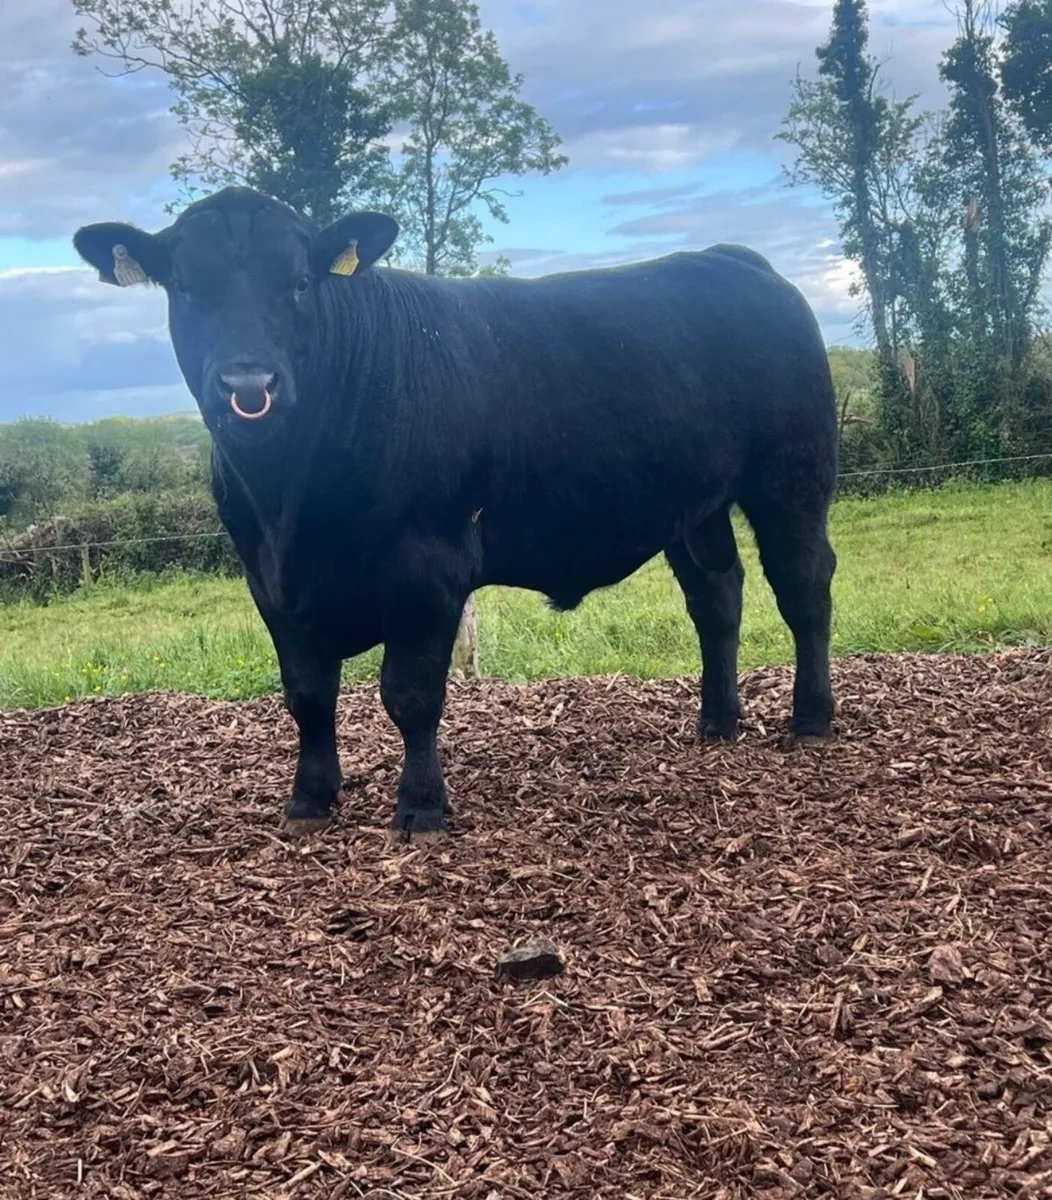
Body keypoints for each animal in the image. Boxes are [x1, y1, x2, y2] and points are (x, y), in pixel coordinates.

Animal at [73, 187, 838, 838]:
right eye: (186, 287)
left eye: (300, 283)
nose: (248, 383)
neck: (288, 507)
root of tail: (730, 258)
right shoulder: (267, 582)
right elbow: (307, 695)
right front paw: (310, 799)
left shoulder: (426, 567)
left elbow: (410, 695)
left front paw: (420, 807)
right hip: (692, 505)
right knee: (717, 596)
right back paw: (717, 721)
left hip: (792, 475)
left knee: (803, 586)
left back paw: (811, 718)